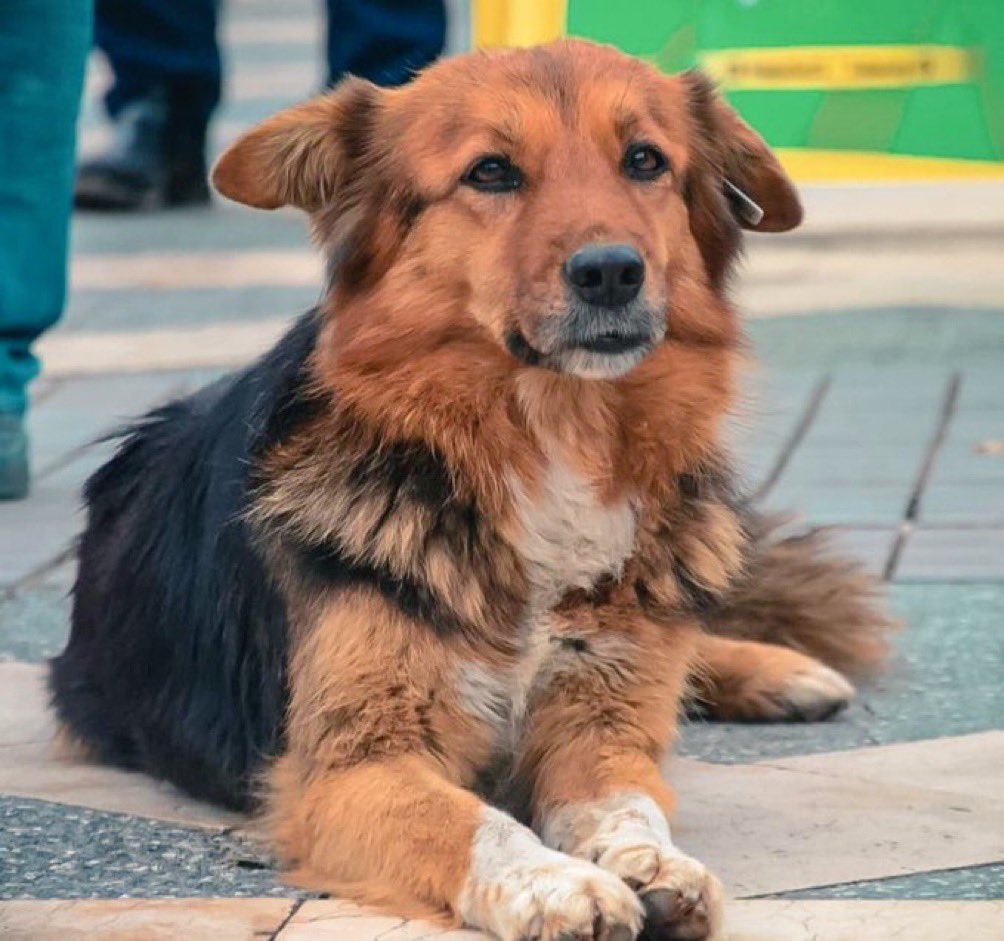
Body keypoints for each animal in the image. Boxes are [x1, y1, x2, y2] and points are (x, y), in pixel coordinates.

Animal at [48, 40, 895, 939]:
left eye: (644, 160)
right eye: (491, 171)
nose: (611, 272)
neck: (549, 434)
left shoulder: (601, 724)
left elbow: (627, 802)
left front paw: (650, 861)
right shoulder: (353, 766)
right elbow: (474, 822)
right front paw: (557, 881)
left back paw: (781, 669)